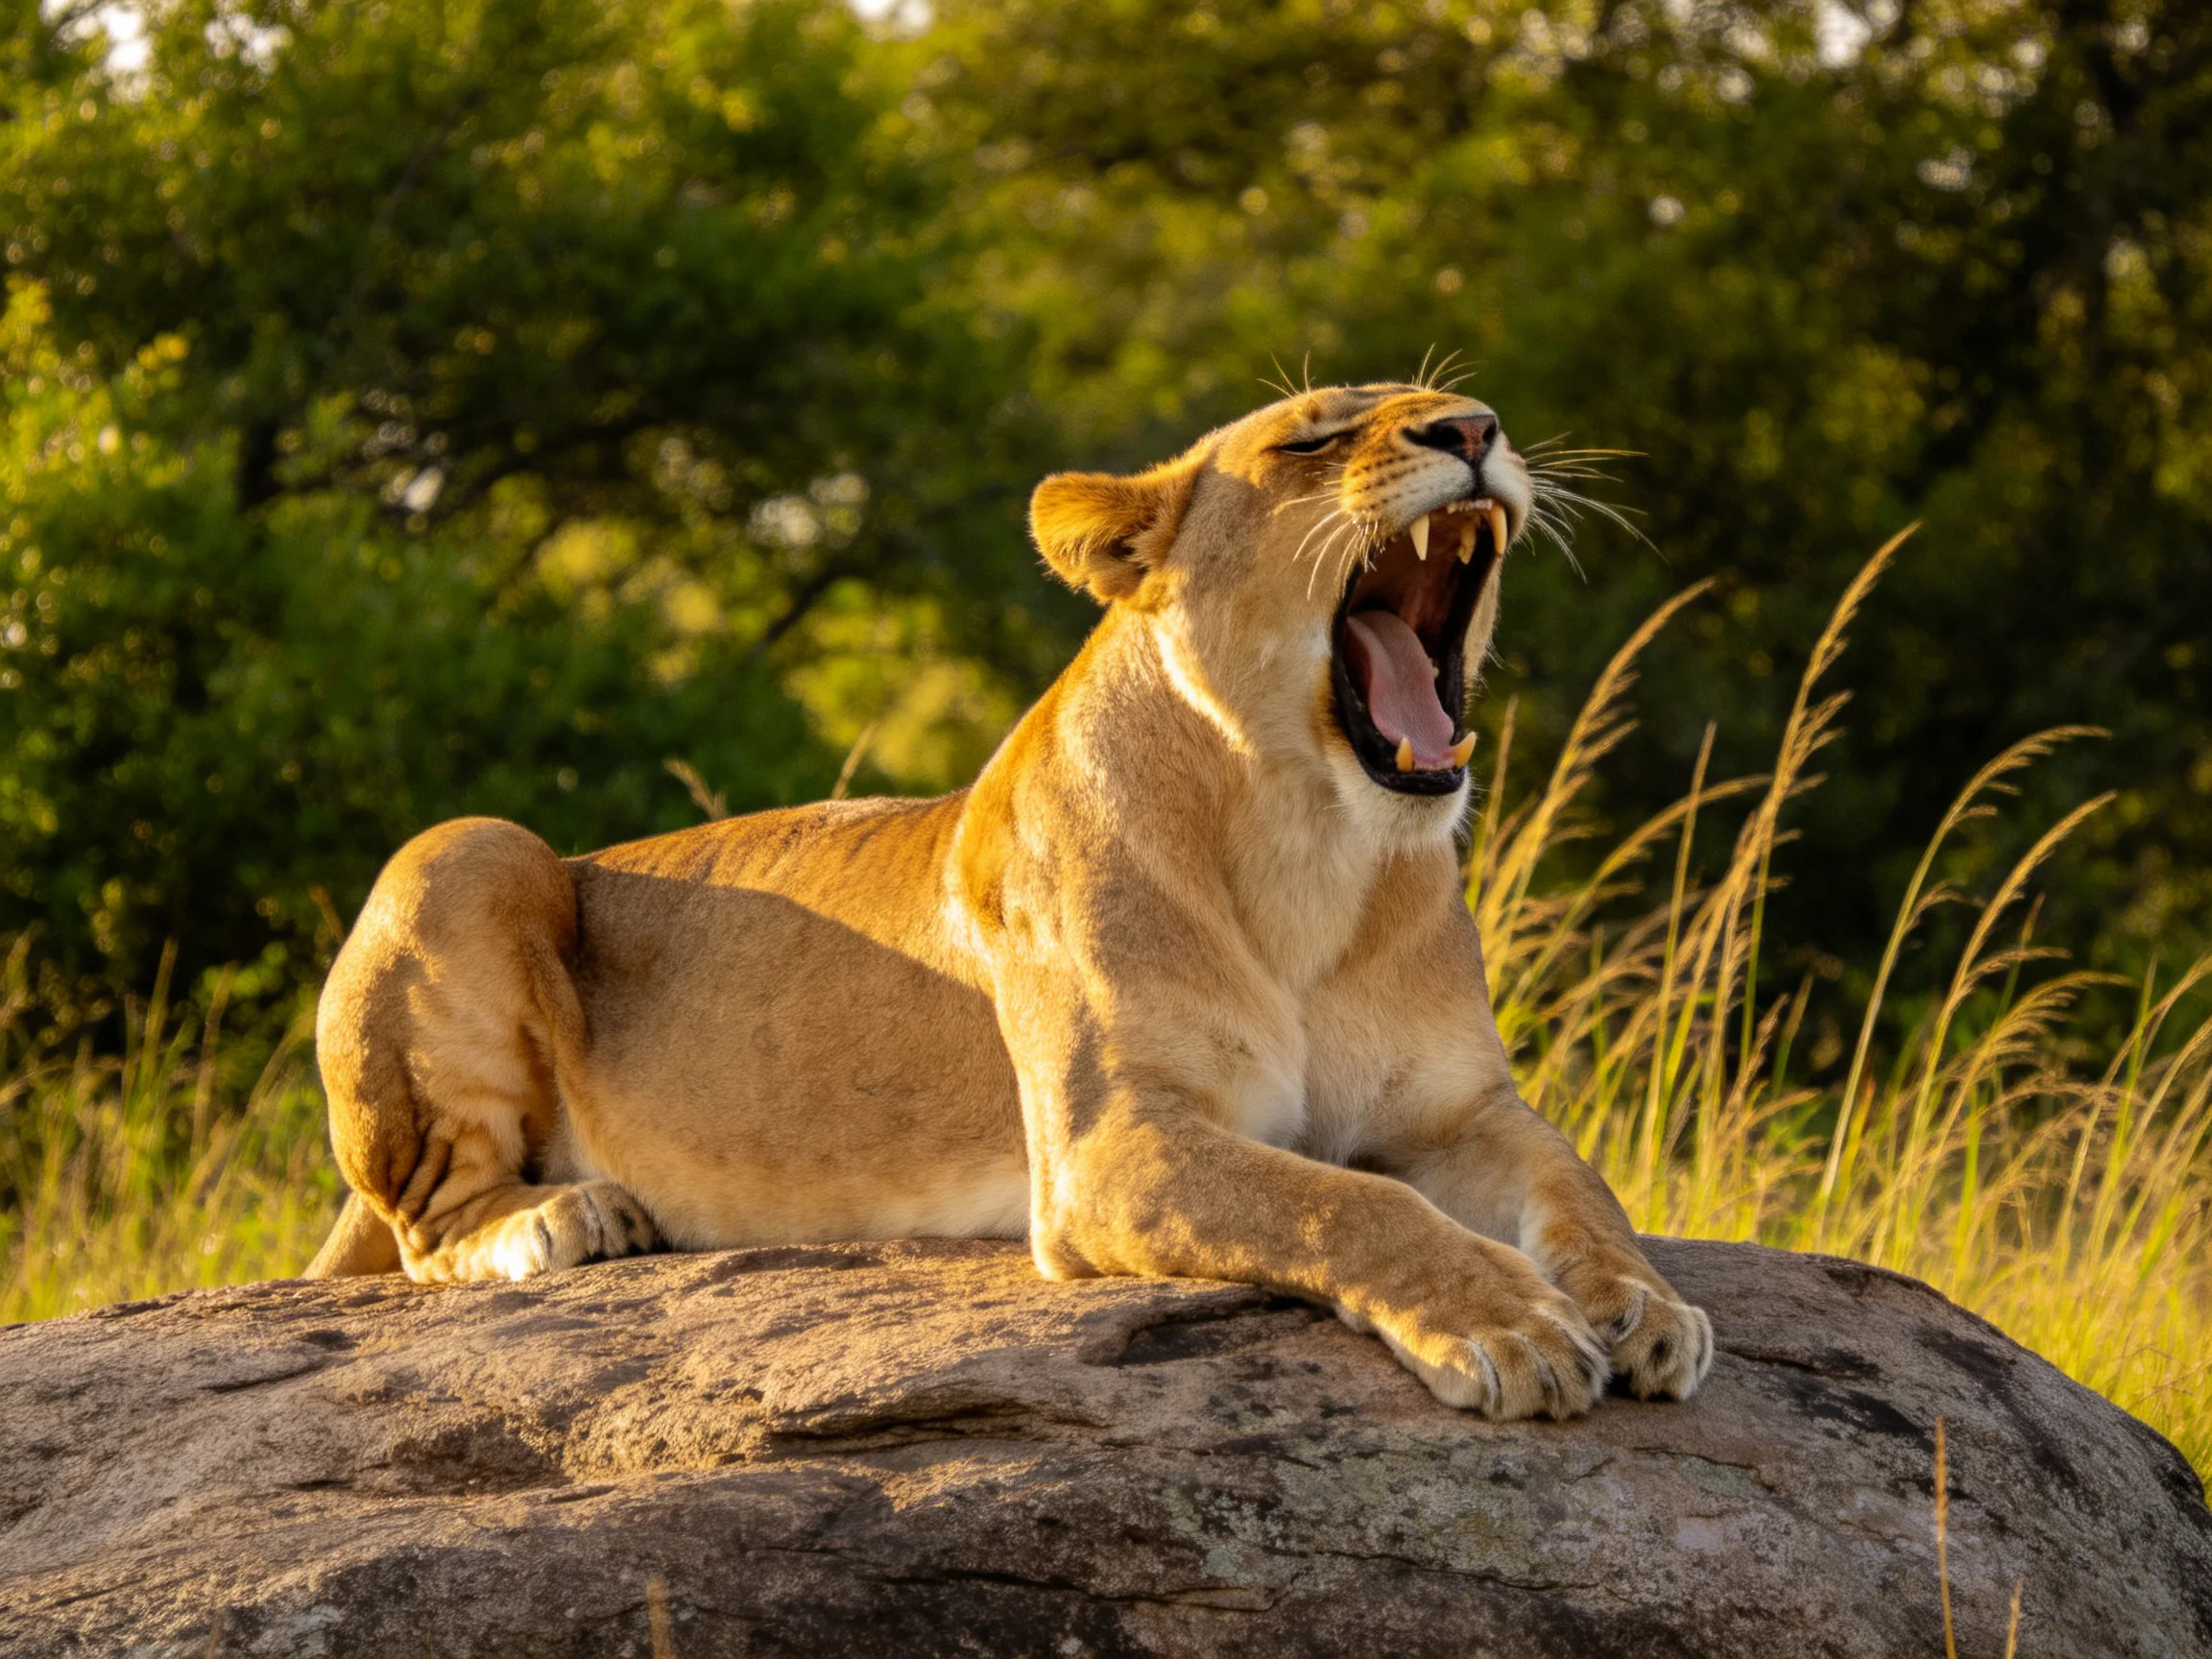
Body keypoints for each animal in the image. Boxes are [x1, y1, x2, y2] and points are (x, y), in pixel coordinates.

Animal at [304, 382, 1713, 1420]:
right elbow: (1349, 1202)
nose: (1475, 431)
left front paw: (1645, 1307)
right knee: (430, 1225)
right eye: (1311, 438)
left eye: (1472, 406)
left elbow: (1581, 1185)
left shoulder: (1460, 1110)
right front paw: (1512, 1323)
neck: (1317, 848)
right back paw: (565, 1215)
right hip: (472, 847)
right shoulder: (1112, 1147)